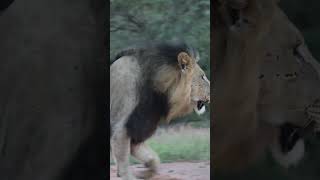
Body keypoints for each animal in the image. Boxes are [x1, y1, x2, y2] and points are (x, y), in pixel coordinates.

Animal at [110, 41, 210, 179]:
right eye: (202, 77)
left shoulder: (138, 127)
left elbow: (154, 159)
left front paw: (144, 173)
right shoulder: (121, 128)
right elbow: (124, 162)